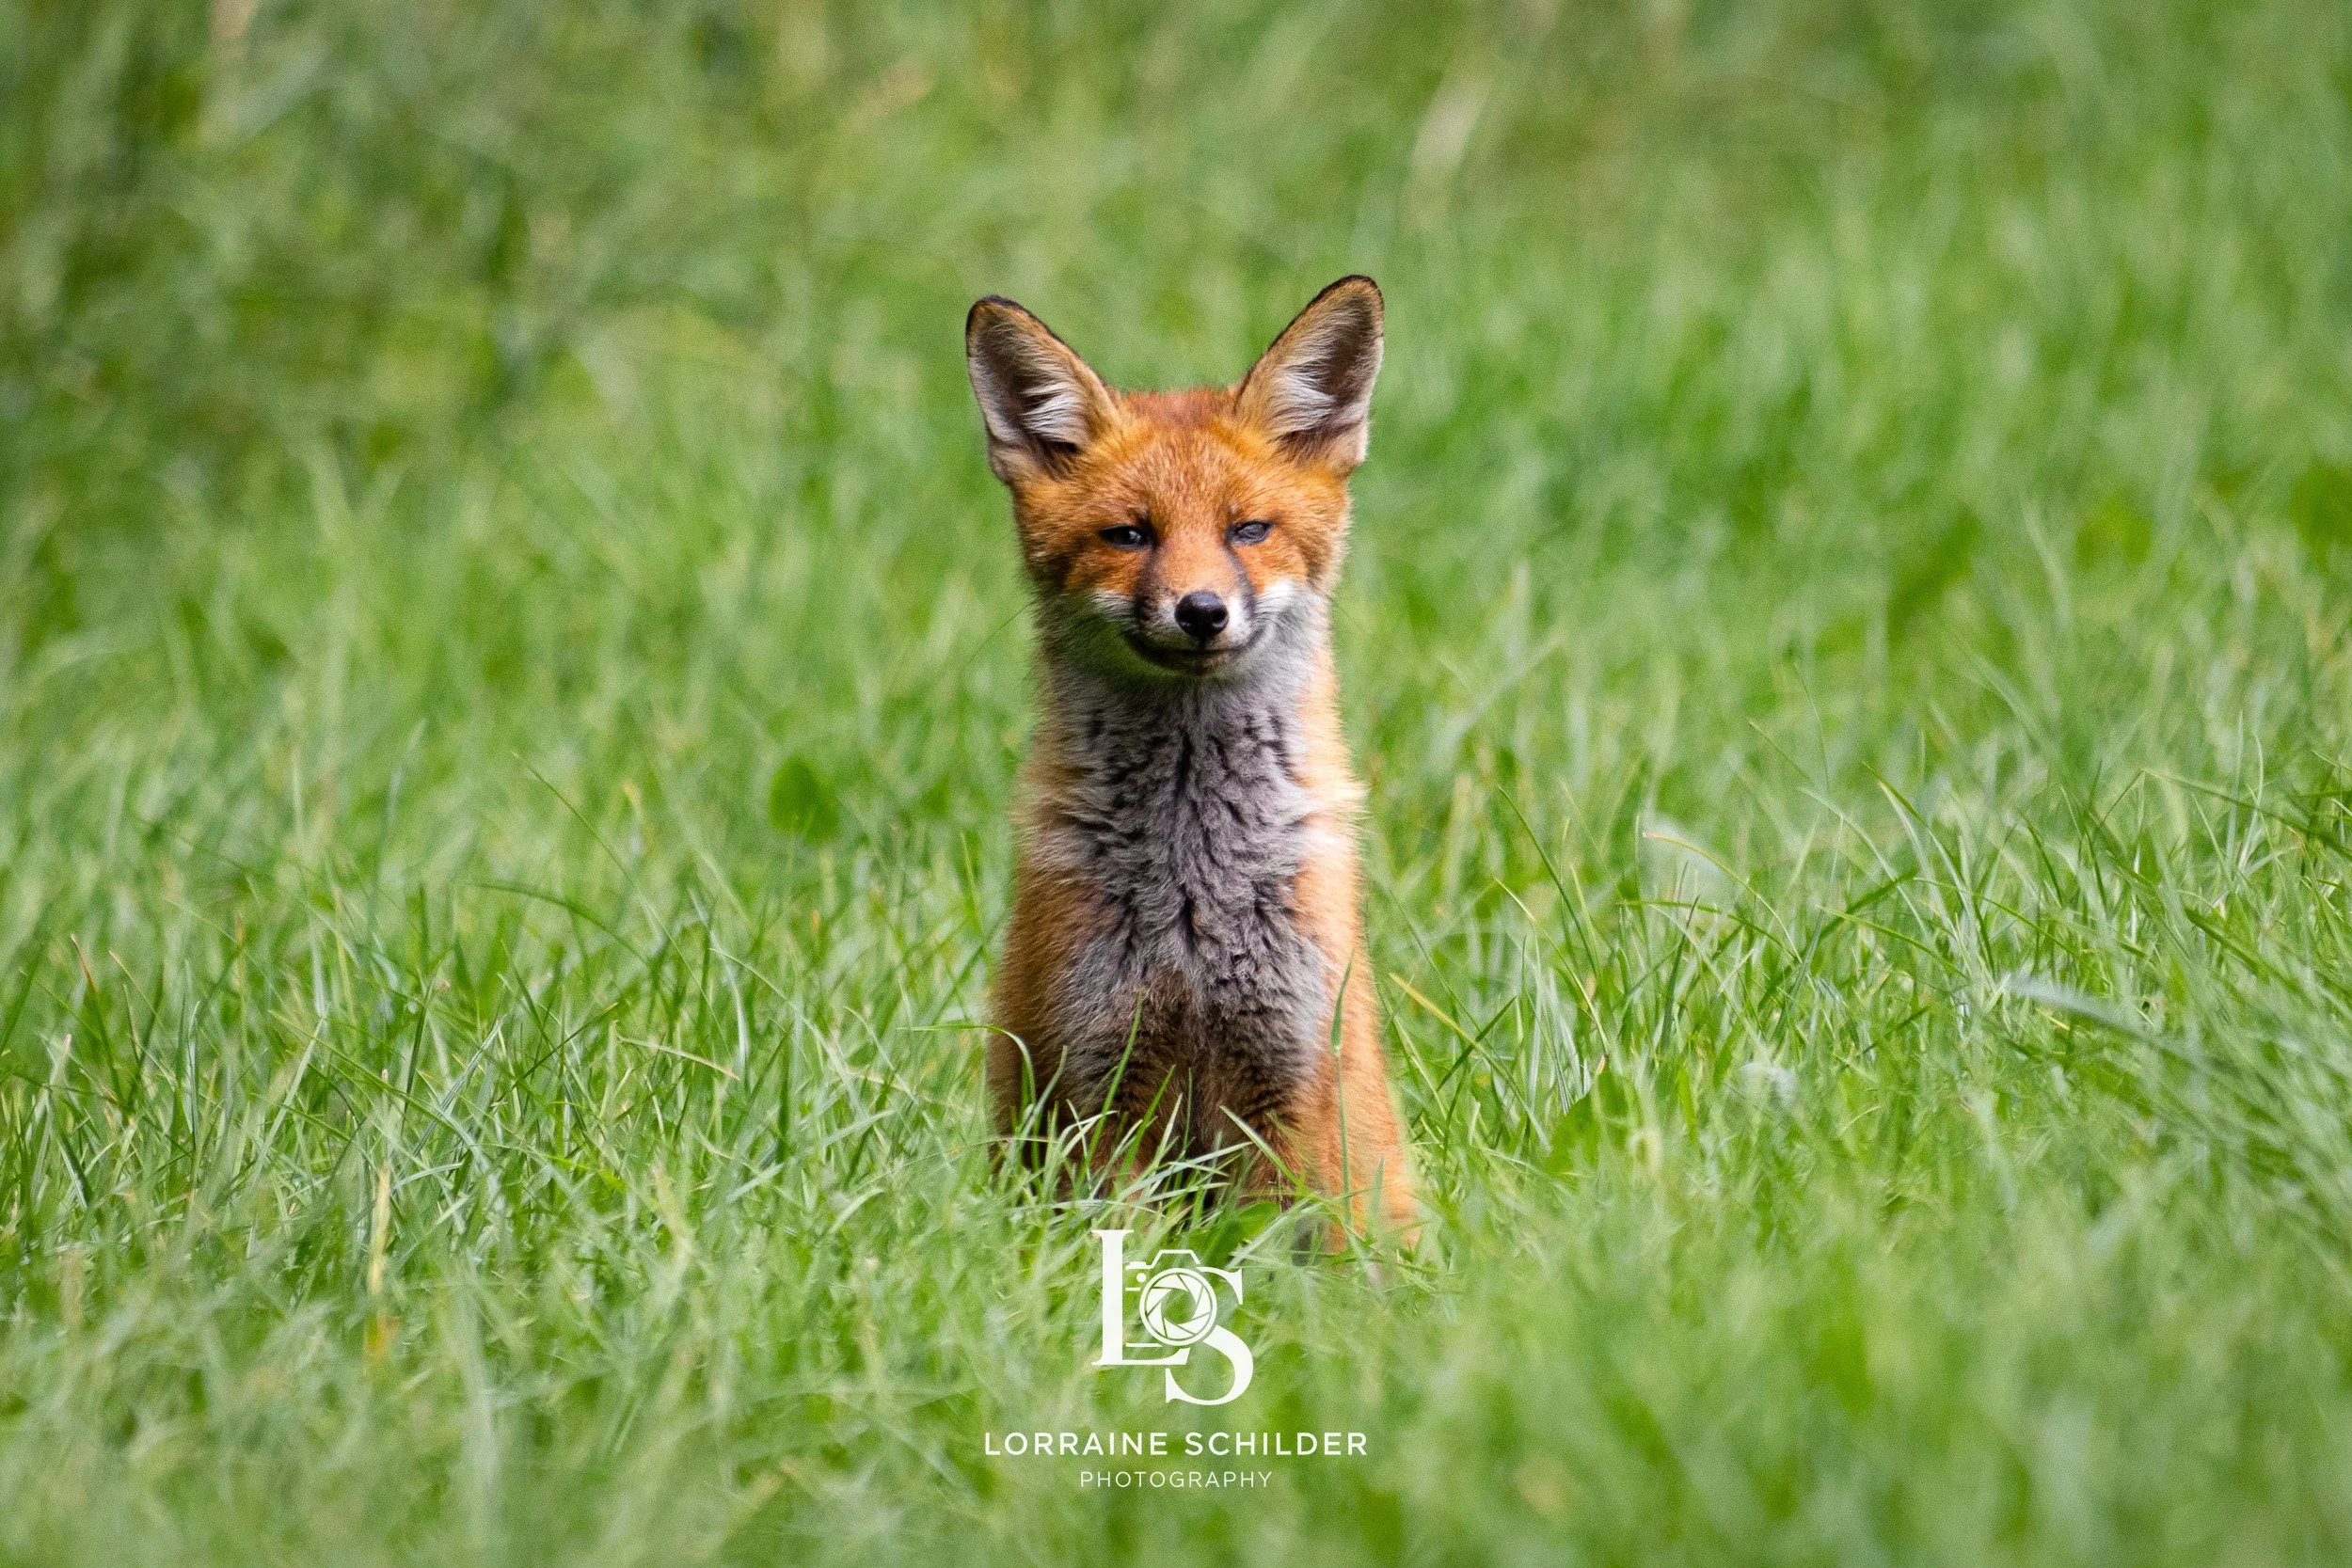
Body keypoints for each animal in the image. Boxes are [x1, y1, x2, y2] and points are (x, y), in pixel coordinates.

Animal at [965, 275, 1417, 1241]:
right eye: (1129, 535)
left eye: (1249, 529)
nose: (1202, 611)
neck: (1194, 878)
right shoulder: (1099, 1083)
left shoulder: (1289, 1078)